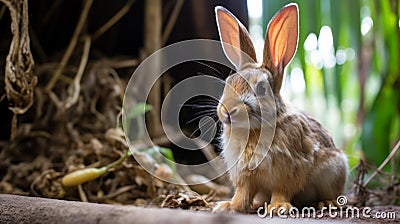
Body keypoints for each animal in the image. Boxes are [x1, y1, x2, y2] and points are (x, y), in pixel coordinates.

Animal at [212, 3, 346, 214]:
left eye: (260, 88)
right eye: (228, 82)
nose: (227, 111)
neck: (254, 129)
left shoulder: (288, 171)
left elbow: (281, 190)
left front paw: (278, 208)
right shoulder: (245, 175)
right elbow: (243, 193)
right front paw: (228, 206)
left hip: (333, 173)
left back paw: (326, 203)